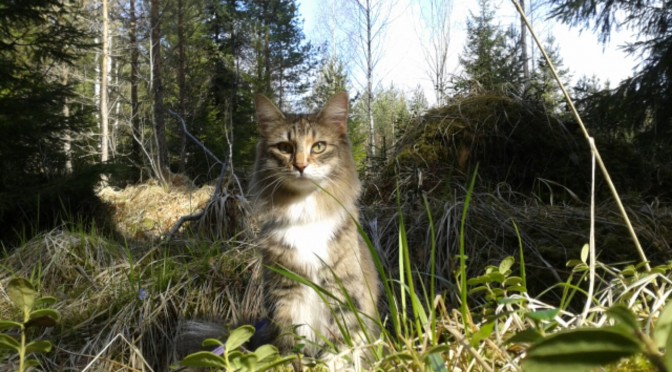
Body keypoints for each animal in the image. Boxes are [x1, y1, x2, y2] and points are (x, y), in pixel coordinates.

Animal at [251, 91, 380, 362]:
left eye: (318, 146)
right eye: (285, 148)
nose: (300, 166)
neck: (305, 214)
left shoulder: (341, 287)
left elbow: (341, 340)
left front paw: (334, 362)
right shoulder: (285, 293)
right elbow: (291, 340)